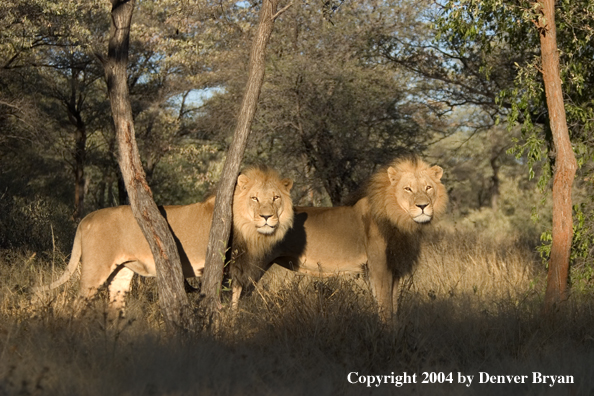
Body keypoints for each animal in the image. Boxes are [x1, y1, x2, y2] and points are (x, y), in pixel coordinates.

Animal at [33, 165, 292, 312]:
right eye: (255, 198)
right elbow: (218, 302)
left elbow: (236, 305)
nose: (267, 217)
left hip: (121, 272)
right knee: (76, 305)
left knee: (114, 307)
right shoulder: (220, 268)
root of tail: (87, 218)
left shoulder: (238, 271)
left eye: (276, 198)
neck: (248, 229)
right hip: (95, 269)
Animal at [229, 153, 442, 320]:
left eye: (428, 188)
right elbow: (385, 308)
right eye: (408, 189)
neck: (401, 220)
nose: (423, 206)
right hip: (249, 262)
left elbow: (393, 306)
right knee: (233, 291)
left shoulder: (392, 268)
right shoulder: (379, 266)